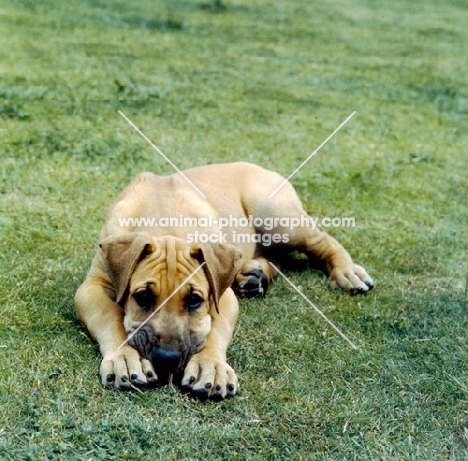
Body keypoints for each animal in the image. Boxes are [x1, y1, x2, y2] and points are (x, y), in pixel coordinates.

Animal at [75, 162, 372, 398]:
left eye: (195, 301)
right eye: (143, 297)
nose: (167, 359)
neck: (162, 217)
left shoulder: (221, 295)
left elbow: (214, 331)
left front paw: (211, 366)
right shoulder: (92, 288)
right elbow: (110, 316)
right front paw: (125, 357)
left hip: (278, 218)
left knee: (321, 240)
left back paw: (347, 271)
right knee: (278, 257)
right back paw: (252, 275)